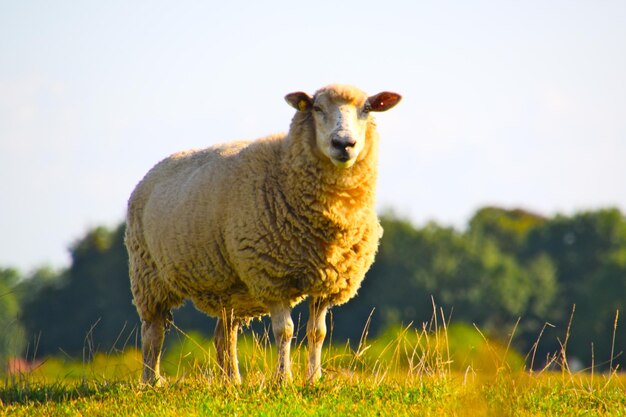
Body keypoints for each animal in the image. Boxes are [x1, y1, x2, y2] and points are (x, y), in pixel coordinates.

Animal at [125, 83, 400, 384]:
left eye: (367, 109)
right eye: (317, 108)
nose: (344, 144)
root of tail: (155, 169)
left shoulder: (329, 282)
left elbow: (318, 333)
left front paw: (314, 379)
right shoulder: (272, 275)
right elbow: (285, 331)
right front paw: (283, 379)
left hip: (229, 288)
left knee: (224, 336)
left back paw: (232, 381)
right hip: (148, 274)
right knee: (153, 332)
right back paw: (152, 381)